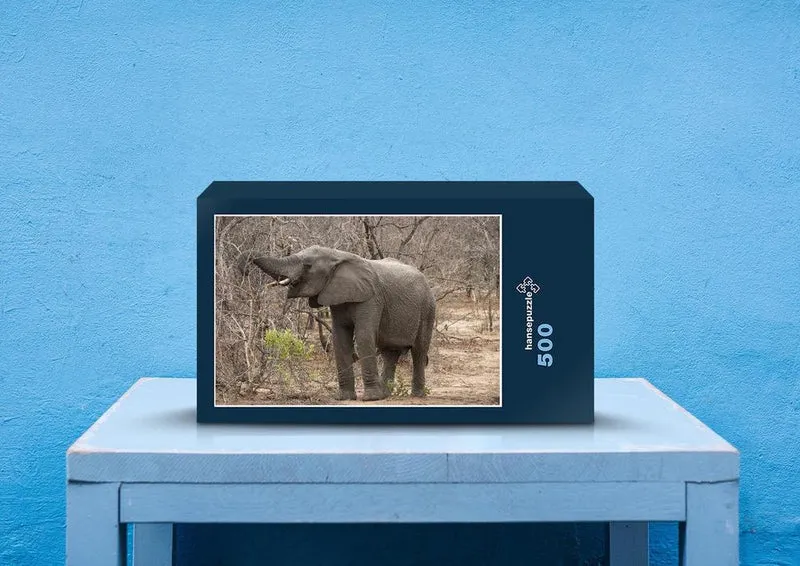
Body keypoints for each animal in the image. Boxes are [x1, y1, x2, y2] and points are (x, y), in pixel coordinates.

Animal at [237, 245, 436, 401]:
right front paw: (344, 398)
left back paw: (417, 395)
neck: (337, 255)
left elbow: (363, 337)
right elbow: (340, 339)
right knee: (390, 352)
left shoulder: (371, 297)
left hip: (428, 308)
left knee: (419, 350)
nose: (245, 270)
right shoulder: (336, 296)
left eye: (307, 265)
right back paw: (386, 394)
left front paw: (371, 398)